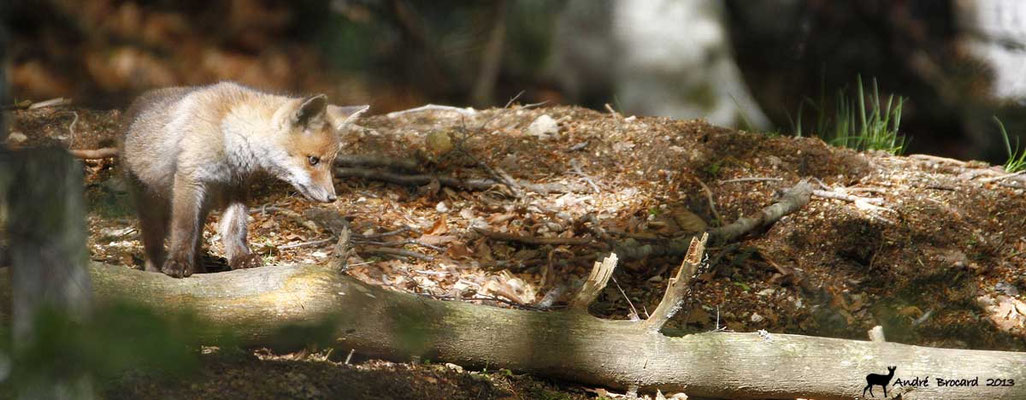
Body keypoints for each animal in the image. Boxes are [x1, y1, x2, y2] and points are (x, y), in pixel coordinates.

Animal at [119, 82, 368, 278]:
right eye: (313, 160)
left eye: (330, 163)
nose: (332, 197)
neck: (229, 137)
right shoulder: (190, 177)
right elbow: (183, 228)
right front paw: (177, 263)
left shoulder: (235, 185)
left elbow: (234, 228)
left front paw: (241, 259)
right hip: (151, 201)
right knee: (154, 238)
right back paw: (156, 268)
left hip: (205, 202)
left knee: (198, 237)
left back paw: (200, 269)